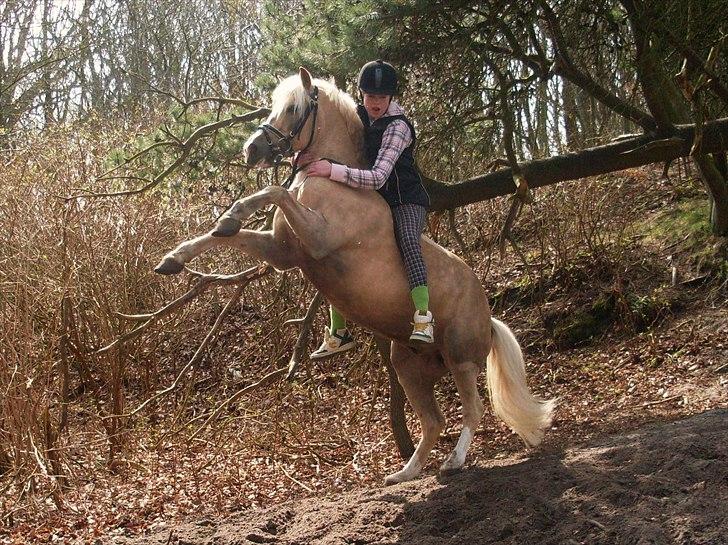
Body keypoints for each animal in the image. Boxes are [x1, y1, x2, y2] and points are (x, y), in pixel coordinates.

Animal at [155, 68, 555, 485]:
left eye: (294, 107)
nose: (251, 150)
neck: (333, 181)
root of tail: (489, 316)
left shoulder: (316, 239)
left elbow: (275, 191)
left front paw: (231, 215)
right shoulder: (283, 252)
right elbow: (227, 234)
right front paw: (178, 256)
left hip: (460, 359)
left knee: (471, 411)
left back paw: (454, 462)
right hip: (410, 367)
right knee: (433, 422)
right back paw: (403, 474)